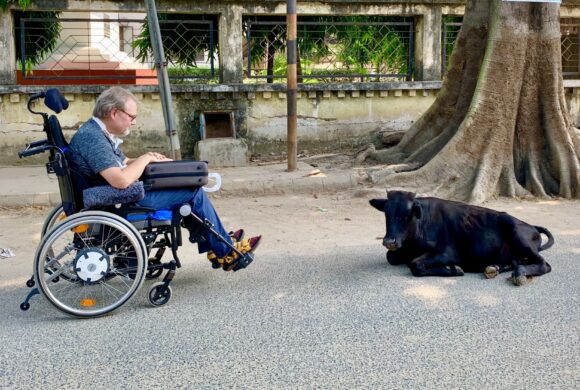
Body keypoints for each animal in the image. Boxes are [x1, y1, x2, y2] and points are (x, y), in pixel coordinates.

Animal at [370, 190, 556, 284]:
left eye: (407, 214)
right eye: (386, 213)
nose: (389, 241)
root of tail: (532, 226)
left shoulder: (448, 252)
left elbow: (415, 264)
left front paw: (453, 269)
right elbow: (390, 257)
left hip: (517, 234)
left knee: (544, 265)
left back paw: (520, 274)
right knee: (516, 261)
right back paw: (493, 268)